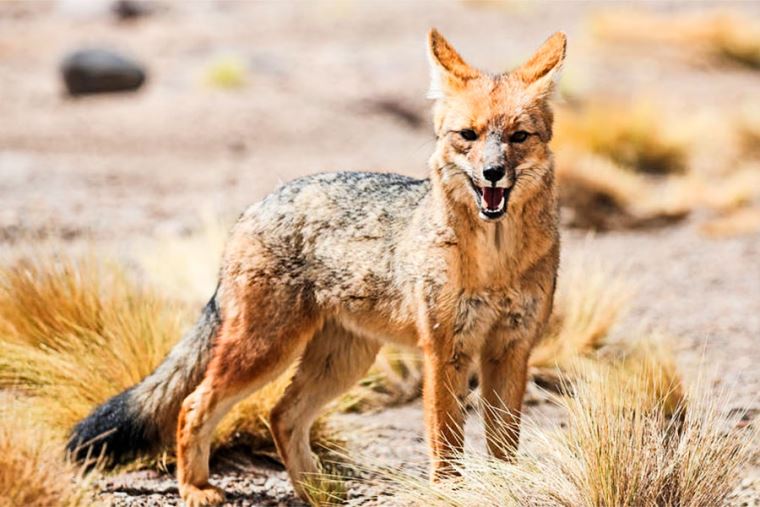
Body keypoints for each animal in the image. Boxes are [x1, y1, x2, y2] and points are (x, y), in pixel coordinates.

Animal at [69, 29, 566, 506]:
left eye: (518, 137)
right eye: (468, 135)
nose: (493, 173)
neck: (496, 263)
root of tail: (258, 204)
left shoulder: (511, 349)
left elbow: (504, 443)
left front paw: (505, 487)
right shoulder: (445, 350)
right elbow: (445, 443)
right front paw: (451, 494)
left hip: (342, 360)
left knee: (282, 414)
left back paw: (316, 491)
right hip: (265, 350)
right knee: (195, 404)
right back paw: (196, 488)